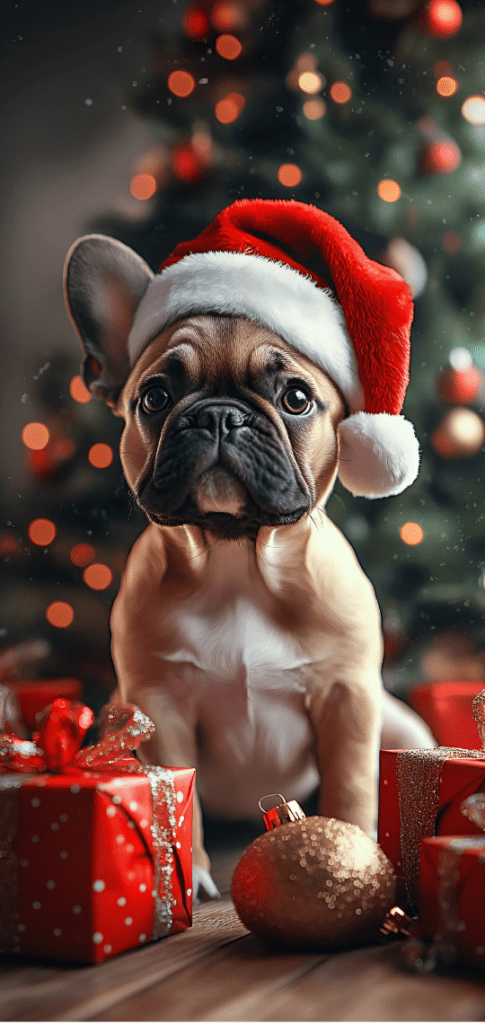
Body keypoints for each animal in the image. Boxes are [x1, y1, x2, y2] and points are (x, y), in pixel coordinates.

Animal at [63, 197, 431, 897]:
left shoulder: (348, 698)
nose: (219, 415)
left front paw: (351, 850)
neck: (237, 562)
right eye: (155, 397)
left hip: (399, 720)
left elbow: (351, 783)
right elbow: (175, 797)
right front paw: (194, 873)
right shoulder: (159, 707)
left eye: (296, 398)